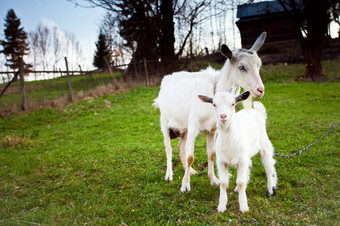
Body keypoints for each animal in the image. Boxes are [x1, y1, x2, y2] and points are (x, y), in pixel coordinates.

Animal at [154, 31, 268, 192]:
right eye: (241, 67)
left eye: (259, 64)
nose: (260, 90)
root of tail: (167, 79)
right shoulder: (194, 127)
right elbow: (190, 156)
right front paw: (185, 185)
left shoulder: (212, 130)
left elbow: (211, 154)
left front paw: (213, 179)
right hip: (164, 120)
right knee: (168, 147)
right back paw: (169, 175)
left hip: (184, 126)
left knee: (182, 146)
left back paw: (190, 171)